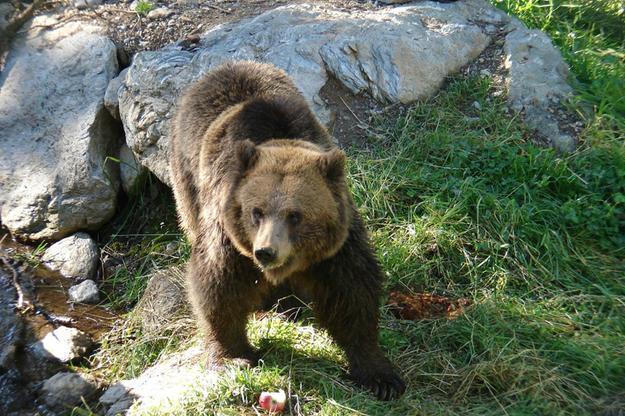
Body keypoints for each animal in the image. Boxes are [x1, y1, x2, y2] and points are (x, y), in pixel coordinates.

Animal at [169, 61, 404, 400]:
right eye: (256, 212)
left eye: (295, 216)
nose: (266, 252)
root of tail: (223, 68)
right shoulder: (229, 234)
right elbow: (219, 285)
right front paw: (233, 357)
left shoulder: (337, 246)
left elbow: (352, 293)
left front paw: (380, 376)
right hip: (187, 178)